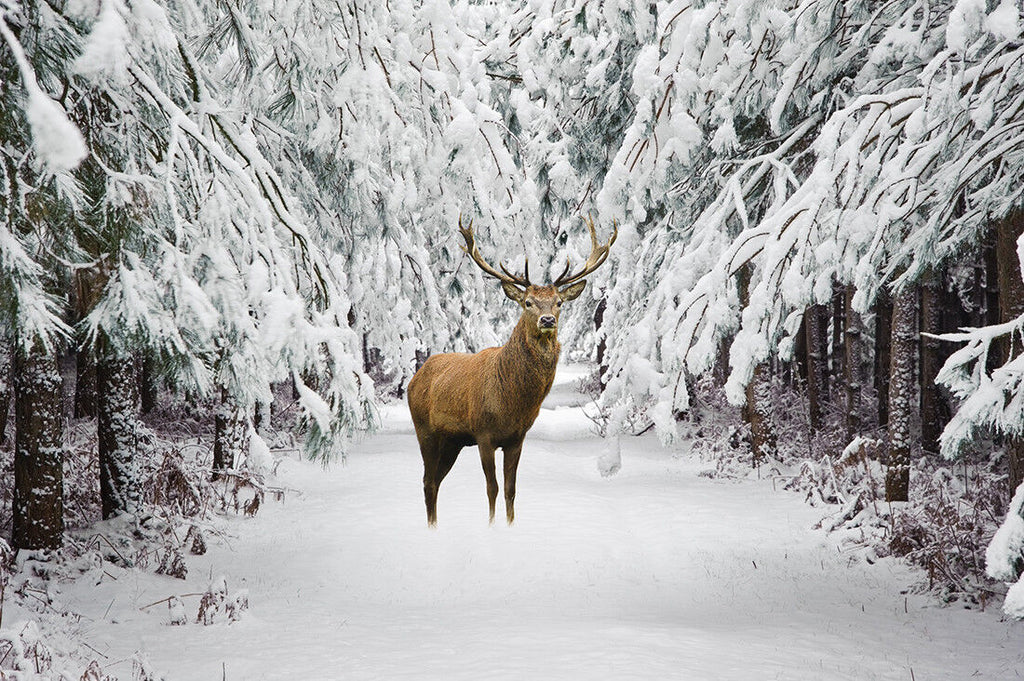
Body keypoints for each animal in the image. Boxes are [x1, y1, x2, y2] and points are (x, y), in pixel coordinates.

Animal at [407, 216, 617, 526]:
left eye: (559, 302)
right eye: (528, 302)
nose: (547, 320)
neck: (512, 402)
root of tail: (415, 377)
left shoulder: (517, 438)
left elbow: (510, 489)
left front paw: (510, 524)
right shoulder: (483, 434)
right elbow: (491, 488)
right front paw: (492, 526)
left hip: (452, 441)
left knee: (435, 481)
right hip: (425, 430)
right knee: (427, 482)